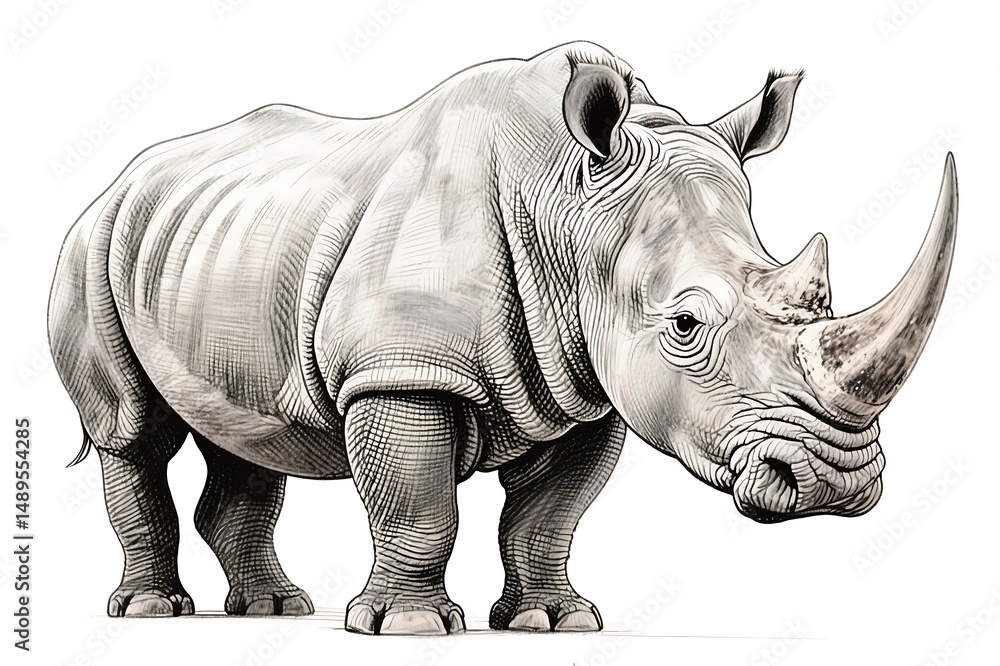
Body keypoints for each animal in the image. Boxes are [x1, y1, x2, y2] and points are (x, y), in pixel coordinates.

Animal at [48, 41, 957, 635]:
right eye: (686, 324)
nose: (837, 484)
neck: (570, 206)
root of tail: (118, 180)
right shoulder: (400, 367)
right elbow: (418, 503)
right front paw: (408, 627)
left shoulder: (589, 385)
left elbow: (551, 514)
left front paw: (554, 622)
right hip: (91, 247)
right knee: (131, 429)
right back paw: (151, 613)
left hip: (216, 250)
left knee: (246, 437)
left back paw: (274, 610)